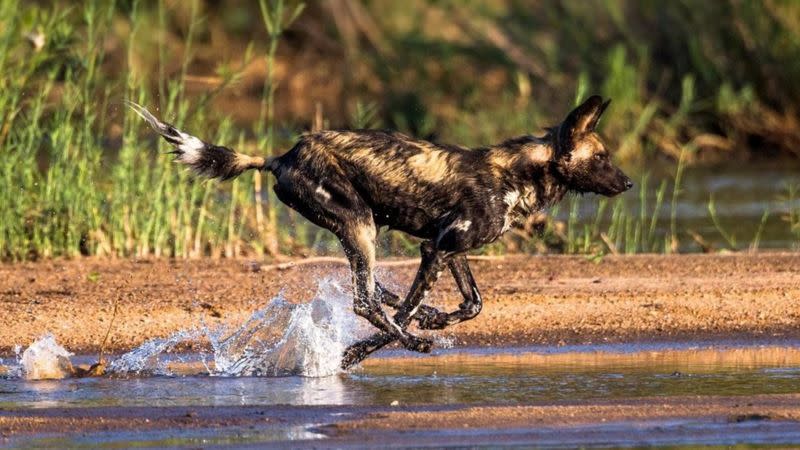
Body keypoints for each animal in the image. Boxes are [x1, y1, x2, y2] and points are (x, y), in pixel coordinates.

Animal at [128, 95, 636, 370]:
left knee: (374, 292)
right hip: (360, 225)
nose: (629, 184)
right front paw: (360, 351)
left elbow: (472, 304)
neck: (517, 175)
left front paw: (435, 318)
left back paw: (427, 315)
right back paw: (409, 337)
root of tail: (280, 156)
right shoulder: (438, 249)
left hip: (360, 230)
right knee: (365, 301)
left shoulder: (445, 249)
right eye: (601, 158)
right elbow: (400, 318)